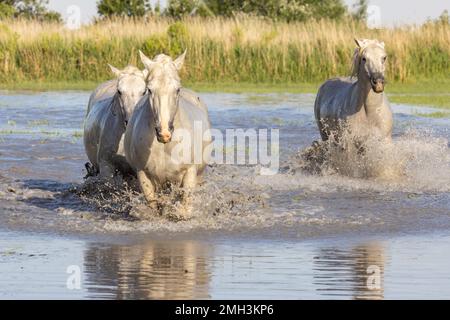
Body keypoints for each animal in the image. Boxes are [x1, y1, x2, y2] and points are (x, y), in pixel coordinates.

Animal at [124, 51, 212, 218]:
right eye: (149, 90)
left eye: (177, 89)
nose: (164, 133)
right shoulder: (143, 174)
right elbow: (153, 204)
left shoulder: (189, 173)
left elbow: (185, 204)